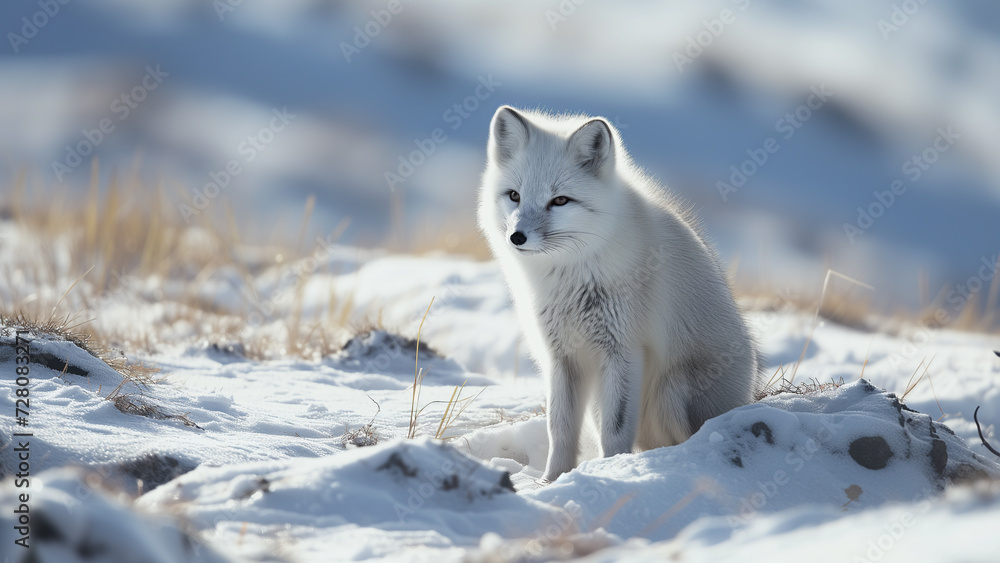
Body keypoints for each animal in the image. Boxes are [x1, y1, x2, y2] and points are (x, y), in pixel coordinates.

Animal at [477, 106, 759, 483]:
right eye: (514, 196)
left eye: (559, 200)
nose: (517, 237)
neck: (572, 278)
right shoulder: (562, 356)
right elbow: (560, 428)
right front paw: (551, 481)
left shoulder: (624, 351)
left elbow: (616, 429)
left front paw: (612, 470)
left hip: (670, 391)